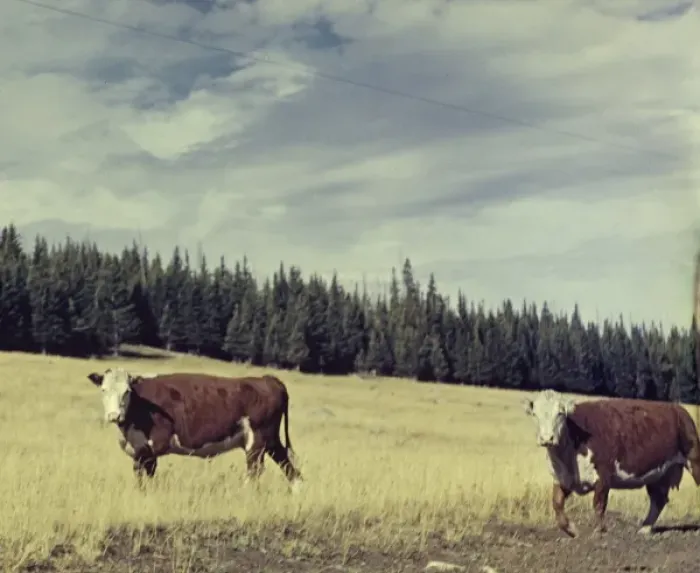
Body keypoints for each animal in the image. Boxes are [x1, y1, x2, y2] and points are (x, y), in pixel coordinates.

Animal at [87, 367, 303, 492]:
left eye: (127, 391)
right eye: (103, 390)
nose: (114, 415)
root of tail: (267, 379)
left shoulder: (152, 447)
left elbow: (147, 474)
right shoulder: (138, 448)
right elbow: (140, 474)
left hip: (256, 441)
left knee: (254, 470)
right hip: (271, 440)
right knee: (288, 465)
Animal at [523, 389, 700, 538]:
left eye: (560, 413)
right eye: (535, 414)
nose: (547, 438)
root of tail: (678, 408)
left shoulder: (603, 475)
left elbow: (598, 504)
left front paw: (599, 531)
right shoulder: (562, 478)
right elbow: (557, 504)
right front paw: (572, 529)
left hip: (693, 458)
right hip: (658, 474)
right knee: (659, 500)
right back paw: (645, 528)